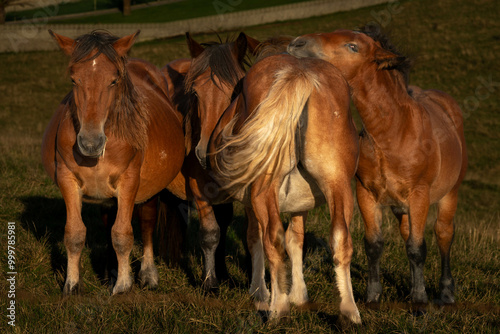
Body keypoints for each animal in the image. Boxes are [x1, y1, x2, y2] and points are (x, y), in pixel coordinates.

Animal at [41, 29, 186, 294]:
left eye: (113, 81)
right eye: (73, 80)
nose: (90, 143)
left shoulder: (129, 182)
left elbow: (122, 234)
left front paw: (123, 286)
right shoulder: (68, 180)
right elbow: (75, 234)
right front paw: (72, 285)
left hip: (149, 191)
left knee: (146, 224)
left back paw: (148, 275)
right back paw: (110, 272)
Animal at [188, 41, 364, 320]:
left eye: (229, 94)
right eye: (195, 93)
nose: (202, 152)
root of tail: (299, 74)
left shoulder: (252, 201)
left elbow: (256, 239)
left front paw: (261, 293)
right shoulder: (301, 204)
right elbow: (296, 240)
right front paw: (299, 295)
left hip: (264, 190)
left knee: (273, 238)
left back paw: (278, 309)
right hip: (339, 184)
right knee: (341, 239)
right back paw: (349, 312)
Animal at [290, 25, 468, 306]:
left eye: (352, 46)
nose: (297, 43)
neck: (394, 132)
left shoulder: (419, 195)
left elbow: (418, 247)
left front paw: (420, 301)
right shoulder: (367, 194)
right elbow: (375, 244)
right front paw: (373, 296)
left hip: (449, 194)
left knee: (443, 234)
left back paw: (446, 292)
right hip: (400, 207)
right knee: (407, 234)